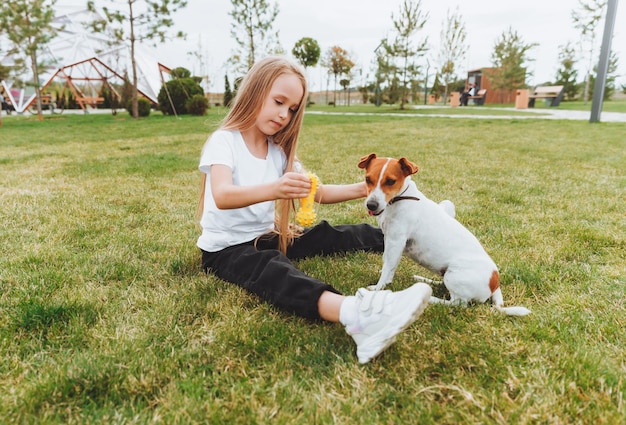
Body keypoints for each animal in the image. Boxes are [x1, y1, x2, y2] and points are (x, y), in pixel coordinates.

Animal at [358, 152, 528, 314]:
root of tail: (495, 283)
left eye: (390, 181)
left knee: (457, 304)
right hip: (446, 274)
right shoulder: (388, 239)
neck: (401, 198)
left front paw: (378, 288)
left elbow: (388, 267)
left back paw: (430, 298)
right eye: (367, 179)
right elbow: (387, 263)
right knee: (443, 286)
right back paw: (425, 281)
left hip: (454, 276)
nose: (371, 205)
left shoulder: (396, 241)